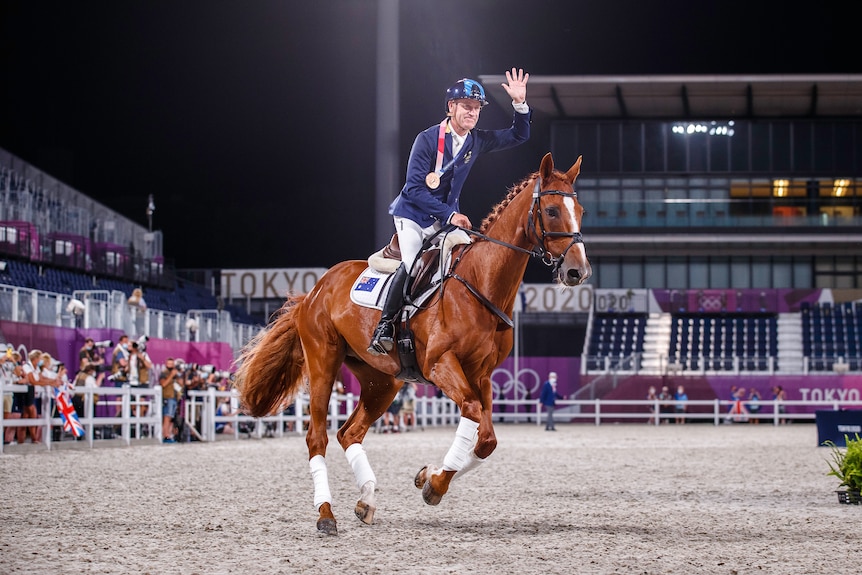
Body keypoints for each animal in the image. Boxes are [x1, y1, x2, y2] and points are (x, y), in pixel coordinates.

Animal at [233, 153, 592, 536]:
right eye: (551, 210)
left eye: (581, 210)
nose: (578, 272)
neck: (481, 284)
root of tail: (314, 291)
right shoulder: (440, 364)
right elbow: (470, 411)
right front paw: (435, 484)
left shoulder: (481, 374)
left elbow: (486, 441)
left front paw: (428, 477)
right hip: (323, 365)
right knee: (318, 437)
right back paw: (326, 514)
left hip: (382, 381)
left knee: (349, 432)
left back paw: (366, 500)